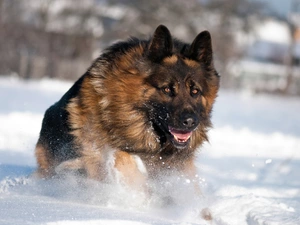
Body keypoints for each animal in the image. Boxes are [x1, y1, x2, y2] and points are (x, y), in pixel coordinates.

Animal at [35, 24, 219, 218]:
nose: (190, 122)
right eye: (167, 89)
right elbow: (123, 160)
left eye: (195, 91)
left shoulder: (178, 167)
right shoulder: (98, 150)